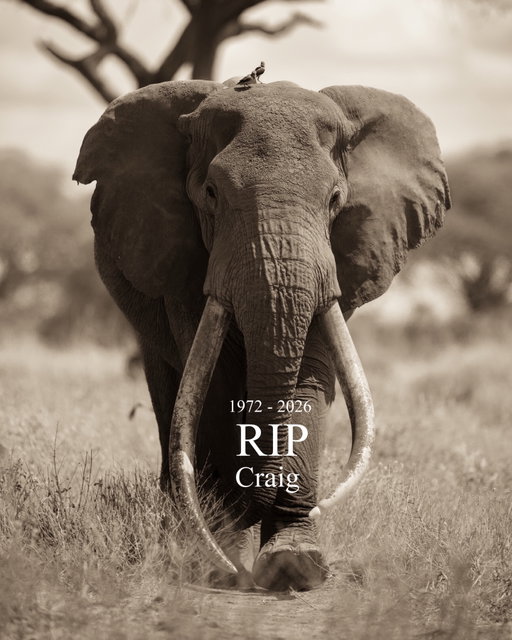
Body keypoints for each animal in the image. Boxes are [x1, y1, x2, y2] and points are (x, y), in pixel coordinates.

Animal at [73, 73, 450, 591]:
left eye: (335, 200)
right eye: (211, 194)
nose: (249, 504)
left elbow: (310, 380)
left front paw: (294, 565)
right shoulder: (186, 264)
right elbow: (213, 384)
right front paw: (221, 556)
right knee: (169, 392)